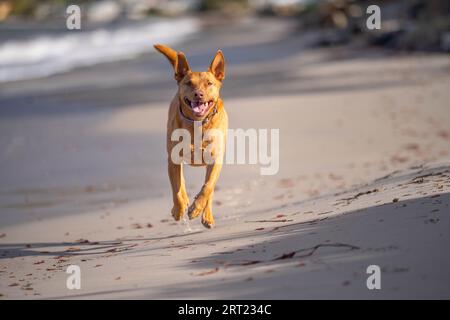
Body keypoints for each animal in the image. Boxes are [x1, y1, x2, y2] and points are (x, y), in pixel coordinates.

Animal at [155, 43, 229, 229]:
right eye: (189, 83)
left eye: (209, 83)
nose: (199, 94)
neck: (198, 123)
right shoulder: (173, 159)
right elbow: (176, 188)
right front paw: (179, 209)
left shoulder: (215, 160)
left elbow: (208, 187)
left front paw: (197, 208)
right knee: (180, 183)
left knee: (209, 189)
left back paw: (206, 214)